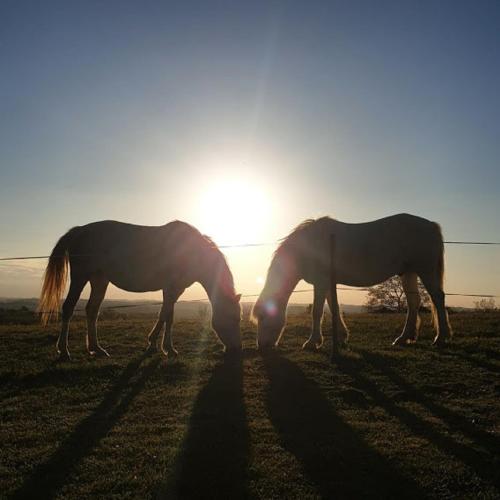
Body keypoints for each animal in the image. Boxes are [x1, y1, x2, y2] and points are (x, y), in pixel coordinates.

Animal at [38, 220, 242, 360]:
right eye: (233, 318)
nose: (236, 349)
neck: (191, 251)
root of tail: (79, 230)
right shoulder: (171, 288)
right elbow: (167, 316)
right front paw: (166, 348)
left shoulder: (175, 290)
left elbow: (166, 315)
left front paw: (157, 345)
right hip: (80, 278)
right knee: (69, 308)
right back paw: (64, 350)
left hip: (99, 280)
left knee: (92, 311)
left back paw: (96, 349)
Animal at [252, 214, 452, 352]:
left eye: (263, 318)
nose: (262, 346)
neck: (309, 246)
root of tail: (431, 225)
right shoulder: (328, 283)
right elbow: (334, 308)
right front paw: (342, 337)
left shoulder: (321, 282)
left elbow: (317, 312)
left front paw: (312, 342)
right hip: (408, 273)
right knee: (413, 303)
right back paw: (404, 338)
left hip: (425, 271)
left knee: (437, 298)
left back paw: (440, 338)